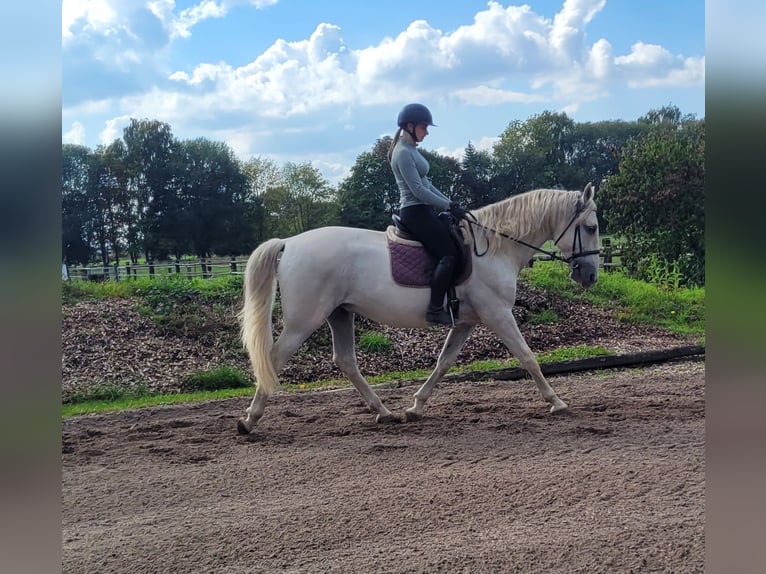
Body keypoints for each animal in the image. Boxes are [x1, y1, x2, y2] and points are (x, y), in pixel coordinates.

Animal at [236, 183, 600, 434]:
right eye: (592, 227)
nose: (591, 276)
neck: (496, 248)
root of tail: (289, 242)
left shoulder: (466, 322)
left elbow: (444, 362)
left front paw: (416, 407)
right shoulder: (498, 314)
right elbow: (527, 357)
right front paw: (557, 402)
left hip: (340, 313)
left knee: (346, 361)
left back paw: (384, 412)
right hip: (304, 321)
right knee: (274, 358)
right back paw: (250, 420)